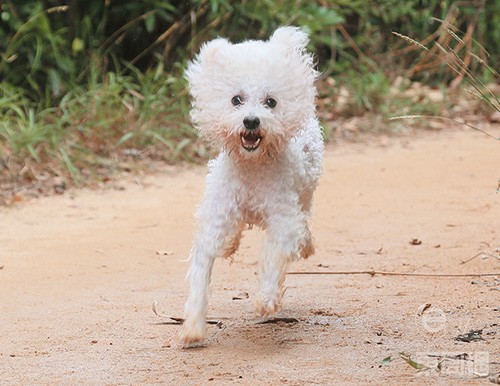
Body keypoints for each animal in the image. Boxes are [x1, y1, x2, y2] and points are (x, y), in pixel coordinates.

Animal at [180, 27, 324, 346]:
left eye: (271, 102)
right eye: (236, 99)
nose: (251, 121)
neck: (251, 168)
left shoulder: (283, 220)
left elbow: (274, 255)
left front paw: (267, 299)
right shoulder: (216, 219)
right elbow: (202, 272)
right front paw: (193, 326)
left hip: (306, 191)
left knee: (305, 218)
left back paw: (306, 244)